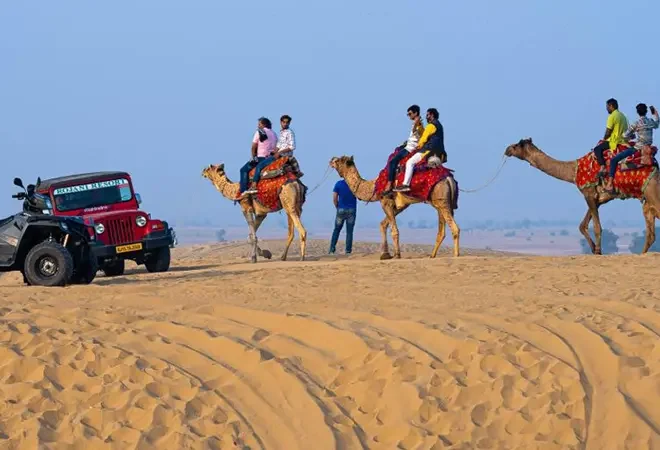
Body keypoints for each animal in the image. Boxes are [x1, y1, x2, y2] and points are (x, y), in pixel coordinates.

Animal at [329, 156, 460, 259]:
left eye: (339, 160)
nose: (331, 160)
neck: (374, 186)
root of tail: (449, 178)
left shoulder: (385, 201)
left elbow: (394, 230)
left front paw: (397, 255)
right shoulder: (401, 205)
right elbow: (383, 224)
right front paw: (385, 254)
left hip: (441, 200)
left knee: (455, 227)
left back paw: (456, 255)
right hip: (441, 202)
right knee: (441, 230)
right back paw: (432, 255)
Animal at [504, 138, 660, 254]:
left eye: (517, 145)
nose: (507, 149)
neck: (573, 171)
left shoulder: (588, 193)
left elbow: (597, 227)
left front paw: (598, 250)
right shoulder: (597, 199)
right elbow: (582, 225)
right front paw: (594, 249)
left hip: (652, 193)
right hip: (647, 202)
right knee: (651, 234)